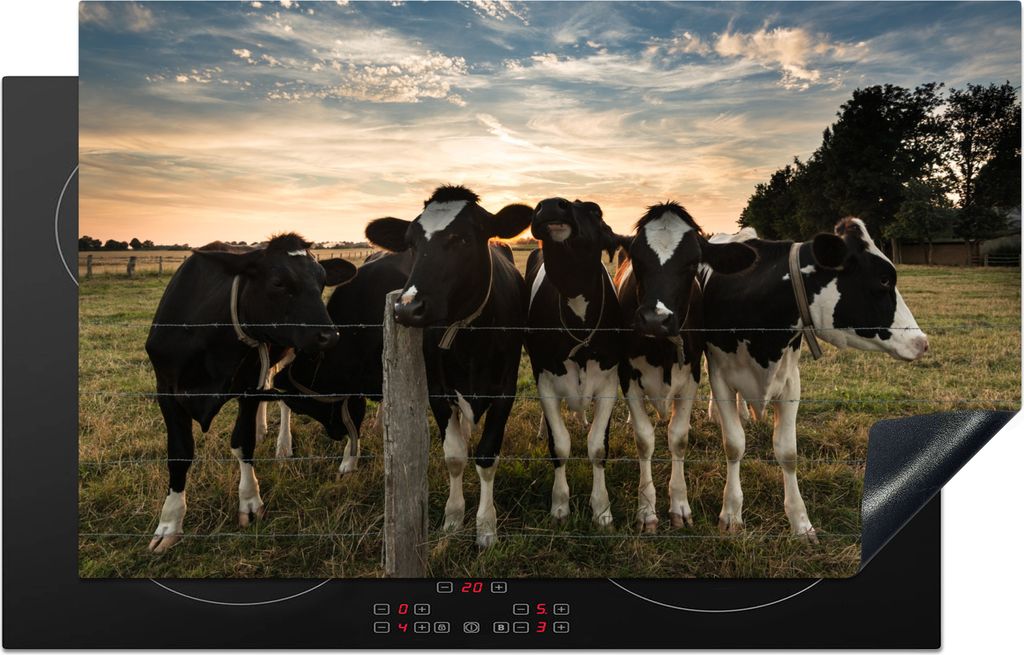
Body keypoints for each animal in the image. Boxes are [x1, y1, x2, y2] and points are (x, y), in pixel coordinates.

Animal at [144, 233, 356, 553]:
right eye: (278, 282)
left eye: (322, 282)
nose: (330, 336)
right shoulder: (166, 391)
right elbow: (179, 454)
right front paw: (169, 523)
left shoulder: (248, 386)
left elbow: (242, 442)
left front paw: (249, 502)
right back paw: (262, 427)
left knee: (283, 398)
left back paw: (283, 445)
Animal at [364, 185, 533, 547]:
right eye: (412, 243)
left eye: (464, 239)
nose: (407, 308)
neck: (469, 344)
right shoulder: (438, 393)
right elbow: (455, 456)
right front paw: (454, 517)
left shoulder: (505, 391)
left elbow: (486, 455)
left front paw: (486, 527)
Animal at [525, 198, 628, 527]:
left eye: (595, 210)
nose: (550, 205)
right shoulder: (544, 377)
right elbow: (559, 444)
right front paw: (560, 505)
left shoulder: (608, 380)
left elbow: (597, 446)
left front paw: (602, 509)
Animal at [614, 202, 756, 532]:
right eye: (637, 259)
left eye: (692, 264)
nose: (655, 319)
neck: (661, 350)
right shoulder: (627, 374)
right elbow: (644, 438)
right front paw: (647, 510)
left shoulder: (690, 376)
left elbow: (678, 438)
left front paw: (679, 505)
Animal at [702, 218, 929, 541]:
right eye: (885, 280)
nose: (923, 342)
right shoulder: (720, 375)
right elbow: (734, 444)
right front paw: (732, 513)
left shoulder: (790, 382)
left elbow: (787, 452)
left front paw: (800, 522)